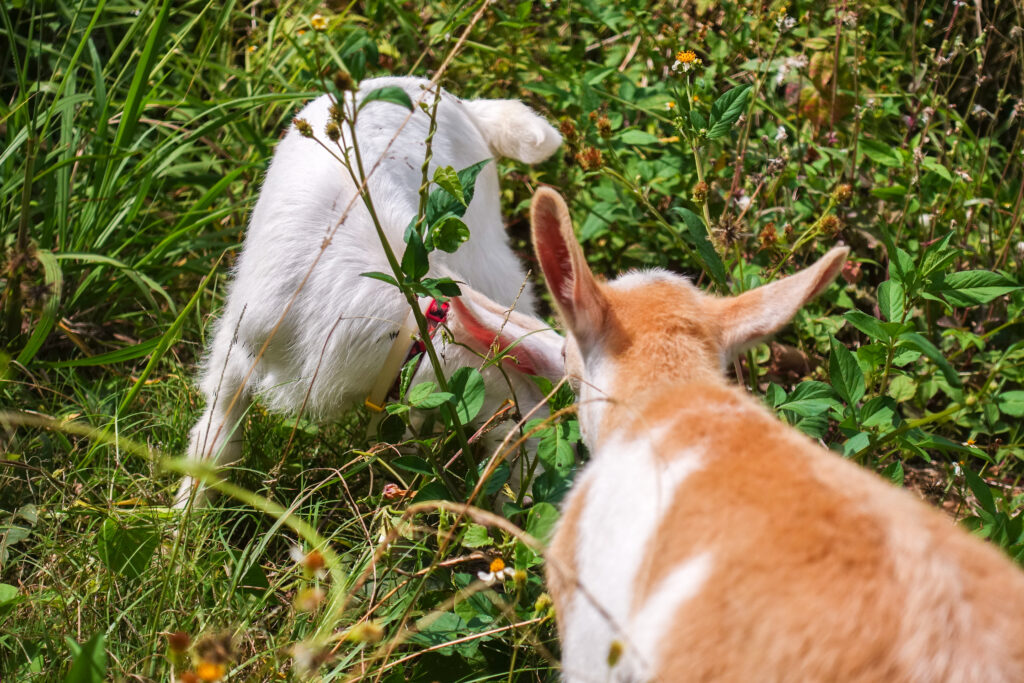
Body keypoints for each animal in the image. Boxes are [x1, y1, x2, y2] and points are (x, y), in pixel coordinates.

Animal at [174, 78, 561, 507]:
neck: (409, 329)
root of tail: (465, 106)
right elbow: (217, 438)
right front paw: (184, 515)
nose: (528, 502)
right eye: (520, 416)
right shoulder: (239, 346)